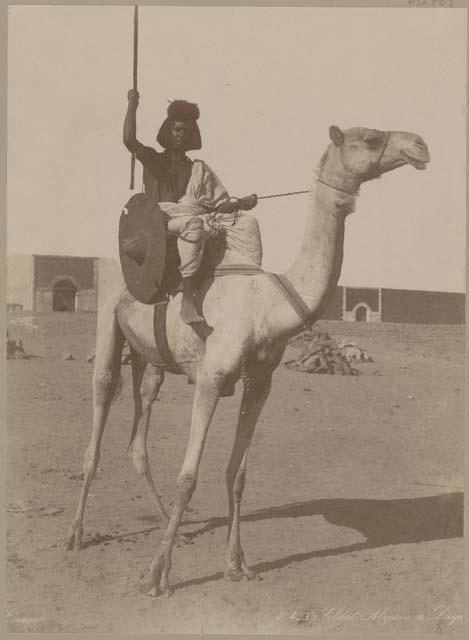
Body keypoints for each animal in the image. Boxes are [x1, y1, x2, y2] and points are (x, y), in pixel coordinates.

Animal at [65, 125, 428, 596]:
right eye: (368, 137)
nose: (419, 145)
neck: (267, 306)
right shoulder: (211, 377)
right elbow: (188, 477)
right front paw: (158, 574)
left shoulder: (260, 382)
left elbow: (237, 474)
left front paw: (237, 564)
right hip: (109, 324)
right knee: (102, 402)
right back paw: (76, 533)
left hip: (151, 359)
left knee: (140, 428)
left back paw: (167, 525)